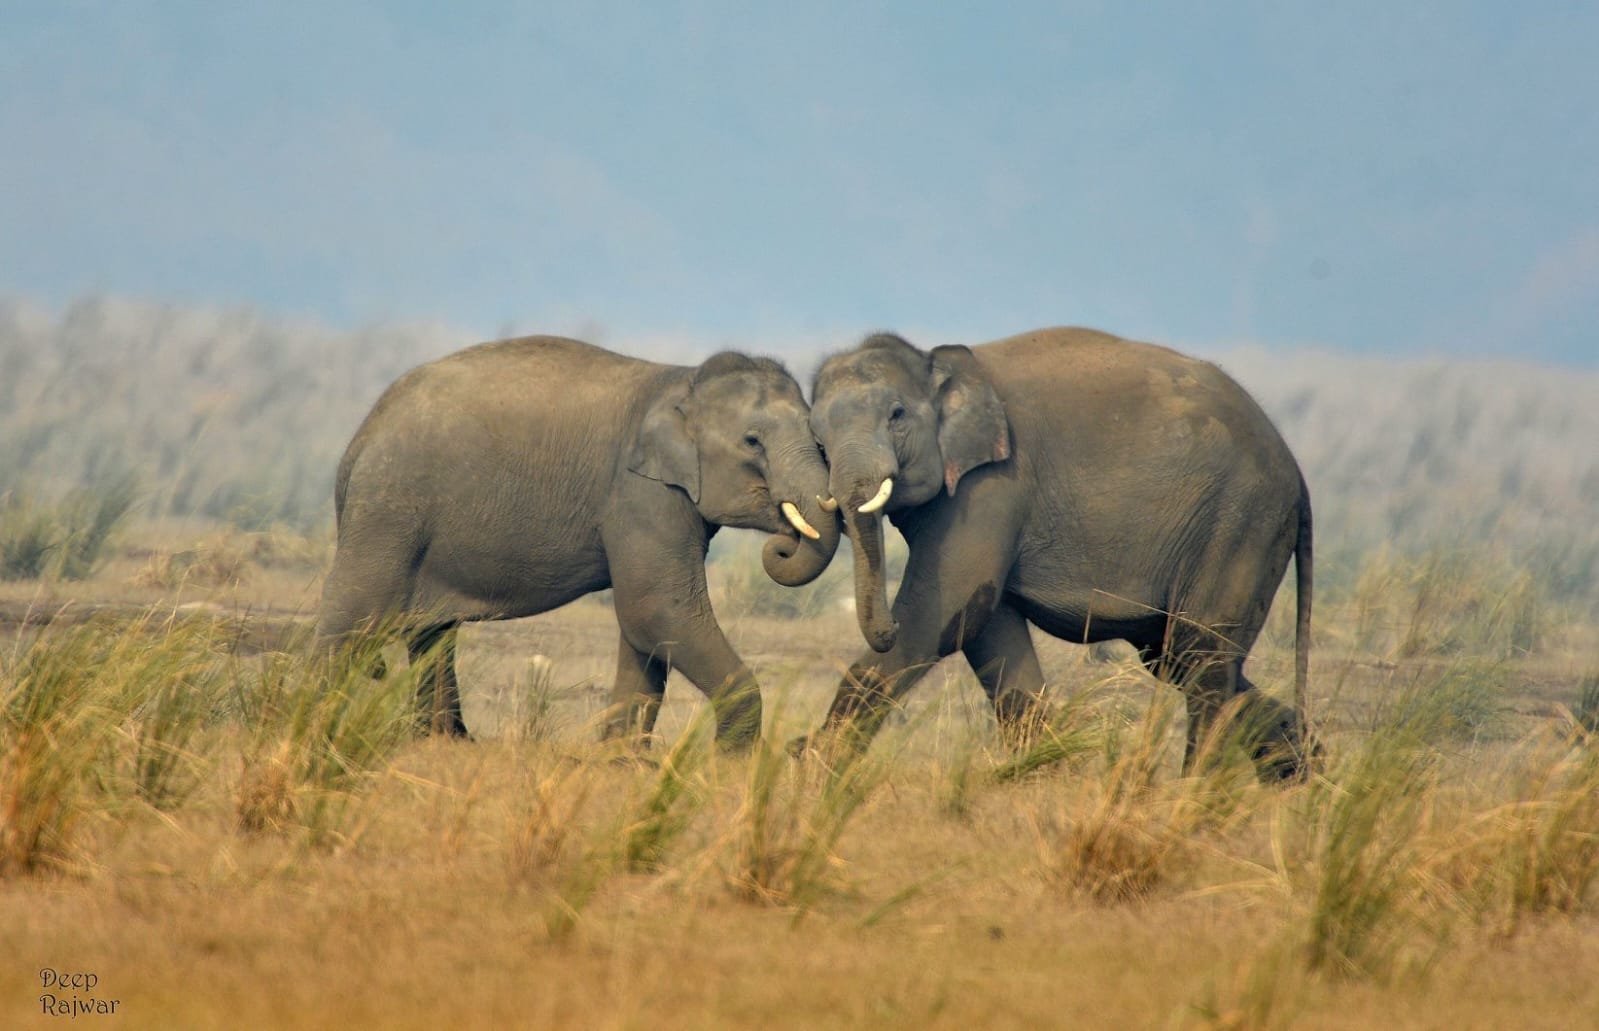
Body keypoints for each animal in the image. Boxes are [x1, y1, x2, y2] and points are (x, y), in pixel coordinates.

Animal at [317, 335, 840, 746]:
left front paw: (620, 762)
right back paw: (313, 725)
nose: (782, 545)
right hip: (387, 513)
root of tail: (359, 439)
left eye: (819, 441)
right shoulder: (640, 493)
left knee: (431, 634)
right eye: (752, 442)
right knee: (352, 617)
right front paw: (729, 765)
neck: (683, 381)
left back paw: (446, 741)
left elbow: (645, 625)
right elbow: (656, 607)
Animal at [801, 327, 1315, 780]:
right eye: (819, 442)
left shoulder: (990, 488)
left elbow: (940, 616)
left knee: (1201, 653)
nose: (885, 627)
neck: (936, 360)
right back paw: (1301, 777)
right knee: (1178, 658)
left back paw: (1189, 795)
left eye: (897, 414)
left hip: (1240, 523)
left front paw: (811, 772)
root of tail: (1297, 472)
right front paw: (1040, 778)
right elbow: (988, 631)